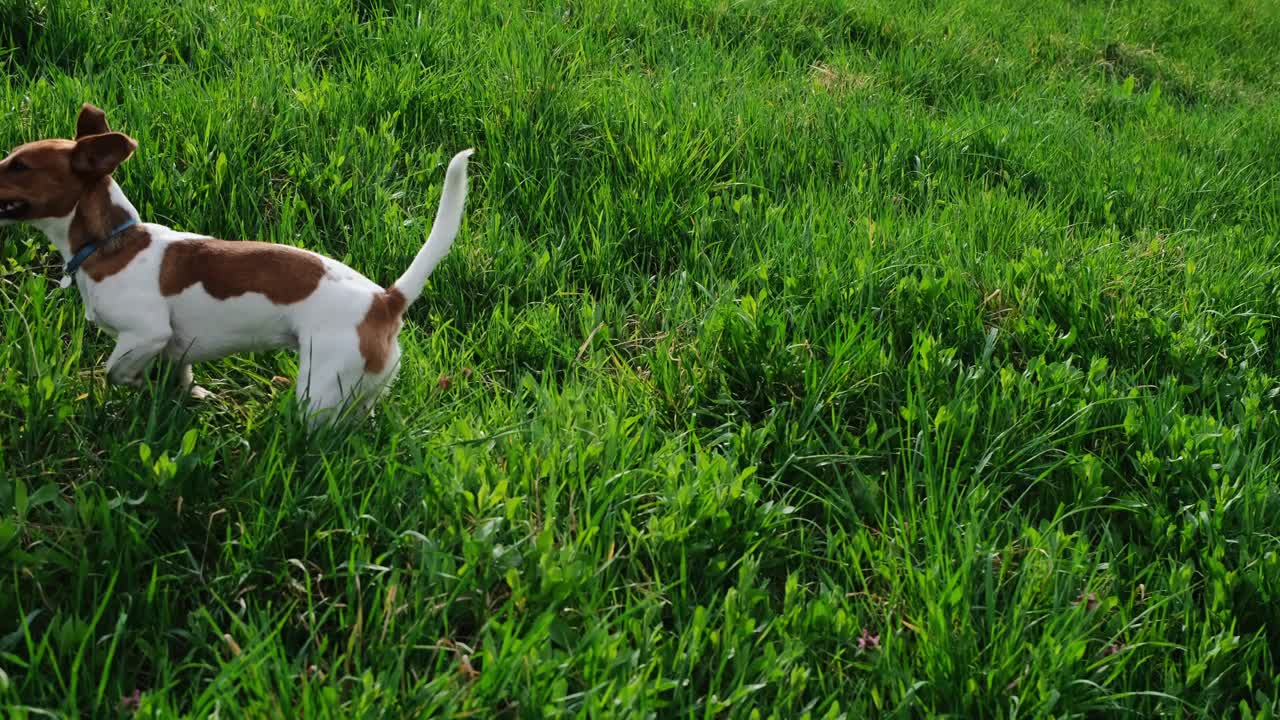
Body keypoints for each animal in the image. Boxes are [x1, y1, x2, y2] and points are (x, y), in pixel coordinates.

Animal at [0, 103, 476, 422]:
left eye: (20, 165)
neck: (110, 243)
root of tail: (385, 300)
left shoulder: (145, 334)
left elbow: (116, 371)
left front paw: (141, 387)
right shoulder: (175, 347)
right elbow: (181, 375)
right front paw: (186, 396)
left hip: (320, 391)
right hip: (359, 391)